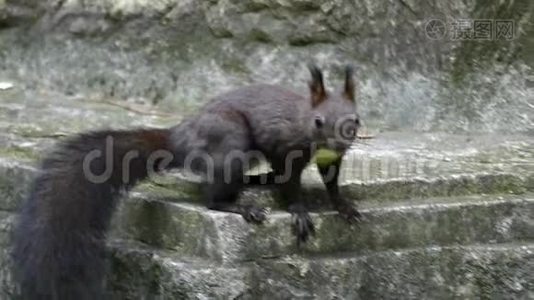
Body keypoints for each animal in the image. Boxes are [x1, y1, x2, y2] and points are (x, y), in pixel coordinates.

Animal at [12, 64, 362, 298]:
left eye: (355, 120)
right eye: (318, 121)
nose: (340, 141)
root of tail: (180, 138)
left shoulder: (332, 160)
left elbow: (332, 183)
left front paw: (344, 206)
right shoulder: (283, 147)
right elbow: (289, 184)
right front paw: (300, 211)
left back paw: (259, 180)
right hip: (232, 143)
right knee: (213, 198)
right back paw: (241, 206)